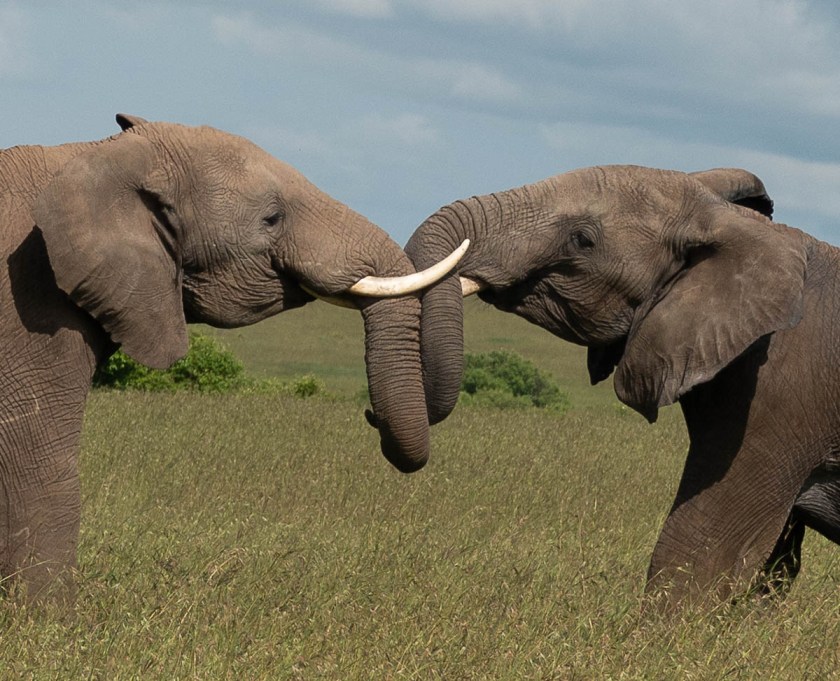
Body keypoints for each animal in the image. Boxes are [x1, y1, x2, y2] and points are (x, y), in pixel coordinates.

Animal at [0, 114, 464, 600]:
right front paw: (50, 618)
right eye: (272, 218)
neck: (96, 155)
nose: (370, 414)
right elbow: (39, 467)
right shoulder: (31, 308)